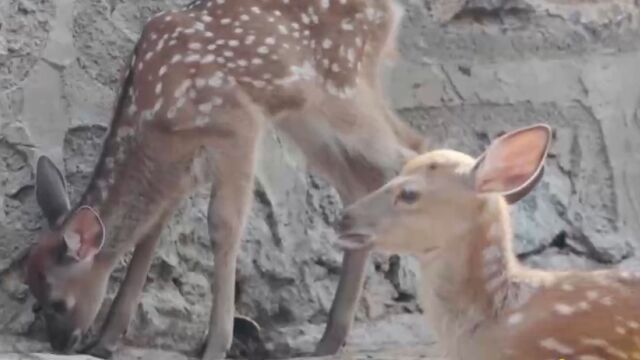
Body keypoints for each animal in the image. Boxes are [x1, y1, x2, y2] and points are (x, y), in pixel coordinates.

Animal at [22, 0, 428, 360]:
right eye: (34, 295)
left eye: (57, 301)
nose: (62, 344)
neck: (153, 118)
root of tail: (390, 8)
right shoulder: (183, 166)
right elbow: (149, 239)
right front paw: (106, 341)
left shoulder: (237, 125)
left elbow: (223, 225)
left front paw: (216, 345)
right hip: (307, 116)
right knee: (359, 182)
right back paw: (329, 340)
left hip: (342, 84)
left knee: (410, 151)